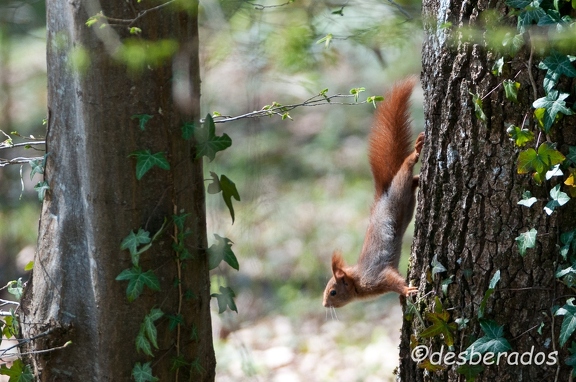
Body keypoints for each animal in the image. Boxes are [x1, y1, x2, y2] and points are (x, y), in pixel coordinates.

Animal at [324, 77, 424, 308]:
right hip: (406, 200)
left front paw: (406, 290)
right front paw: (404, 295)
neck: (358, 281)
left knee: (405, 169)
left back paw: (415, 152)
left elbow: (394, 280)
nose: (324, 304)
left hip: (398, 192)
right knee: (411, 181)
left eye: (333, 292)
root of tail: (382, 195)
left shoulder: (378, 276)